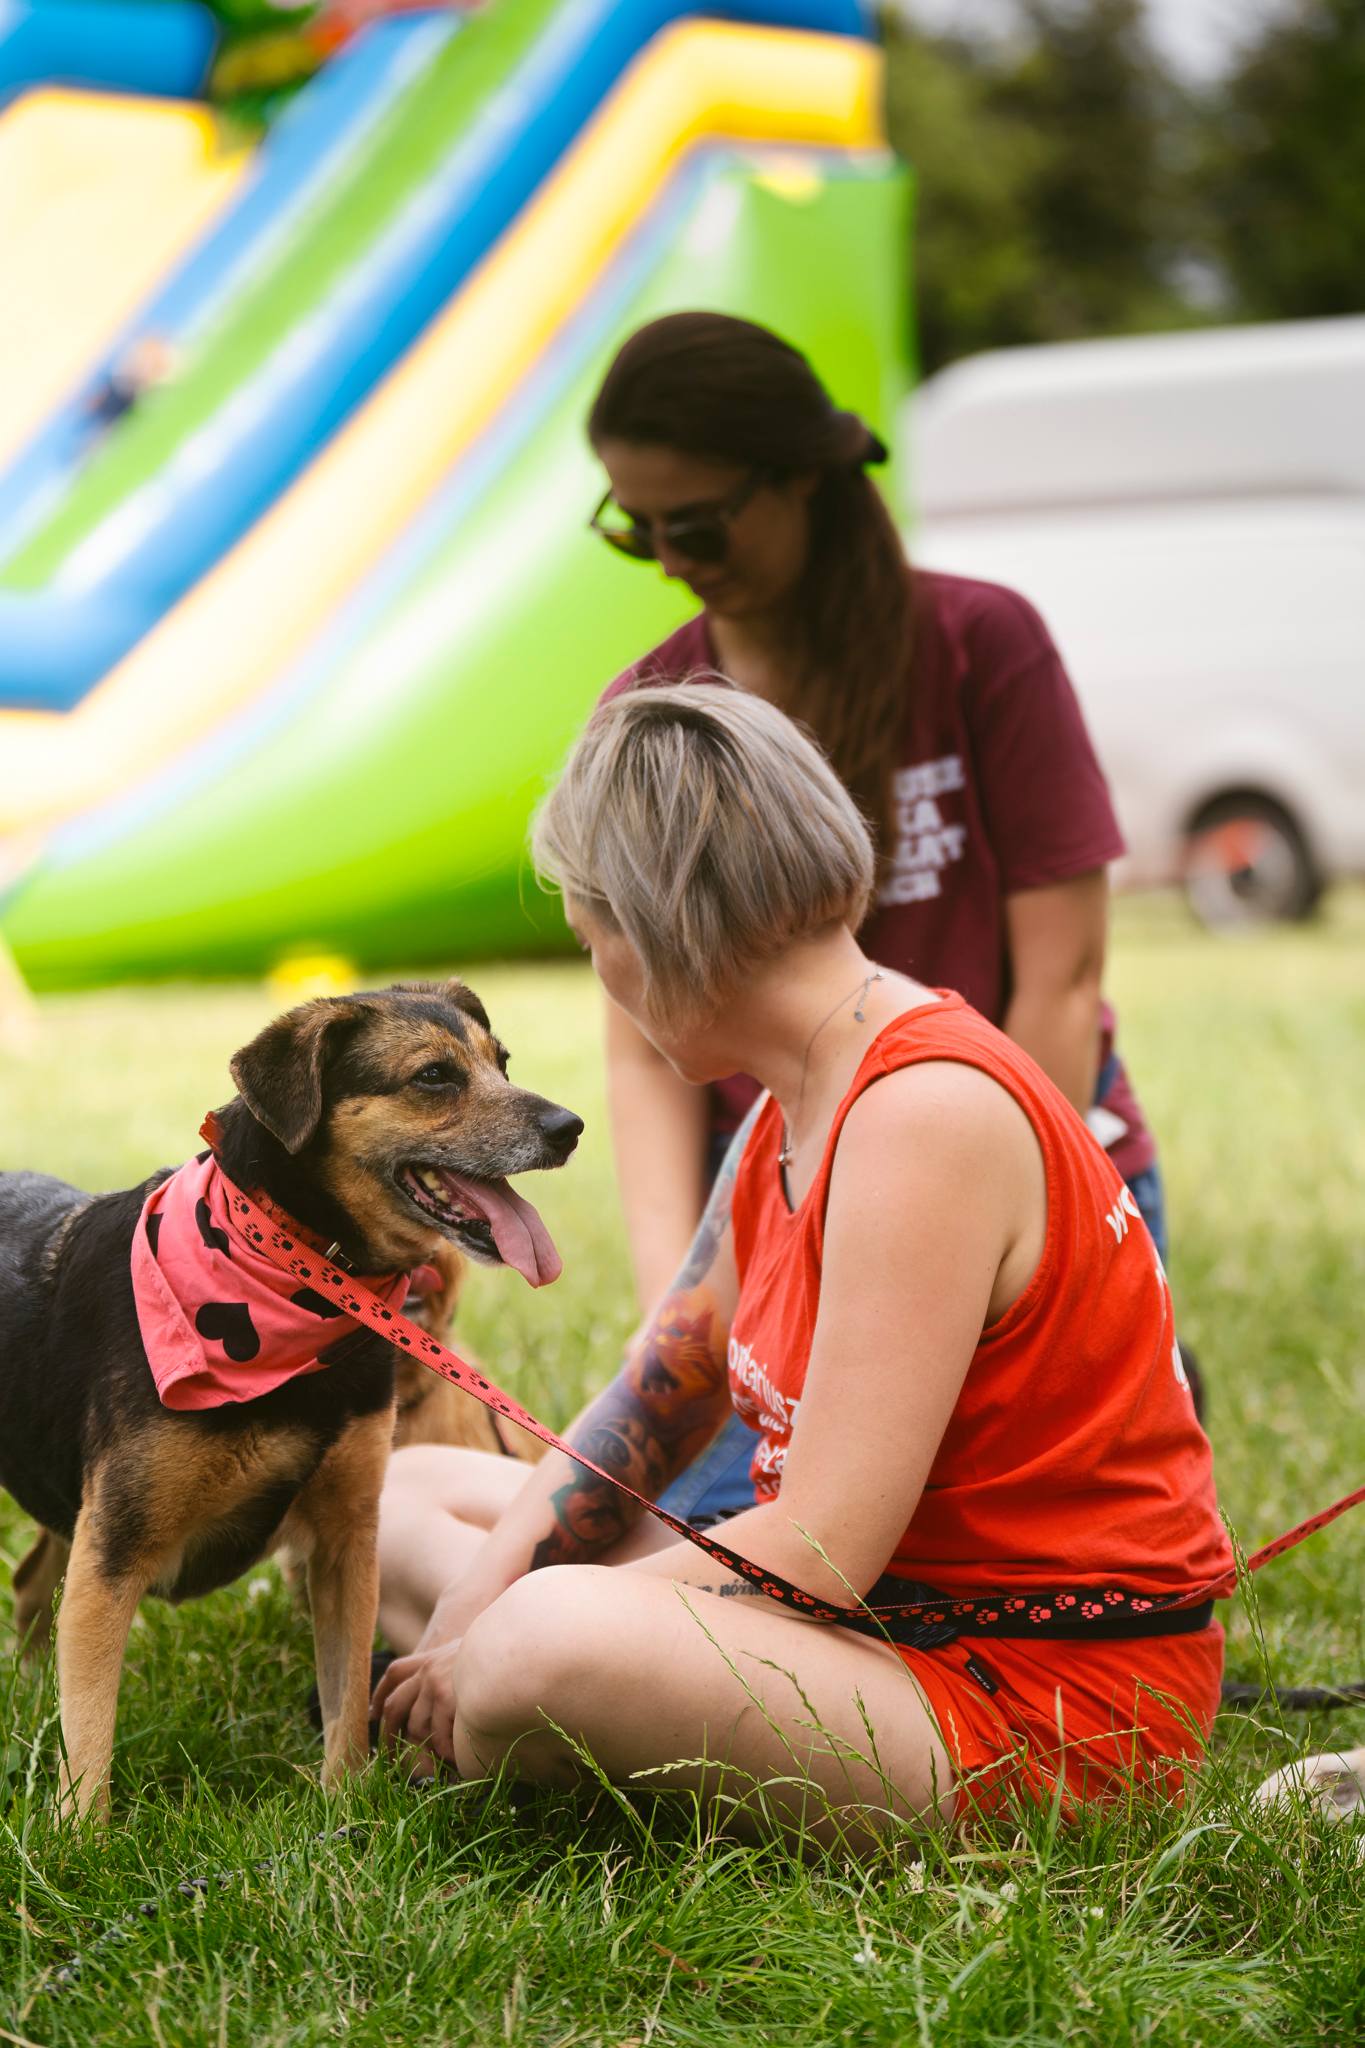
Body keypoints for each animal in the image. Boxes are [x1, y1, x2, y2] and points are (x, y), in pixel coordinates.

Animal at [0, 983, 581, 1818]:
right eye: (434, 1076)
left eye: (501, 1062)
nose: (571, 1127)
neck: (300, 1277)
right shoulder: (112, 1552)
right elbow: (89, 1741)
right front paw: (81, 1838)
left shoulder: (345, 1539)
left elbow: (345, 1704)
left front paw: (345, 1816)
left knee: (29, 1582)